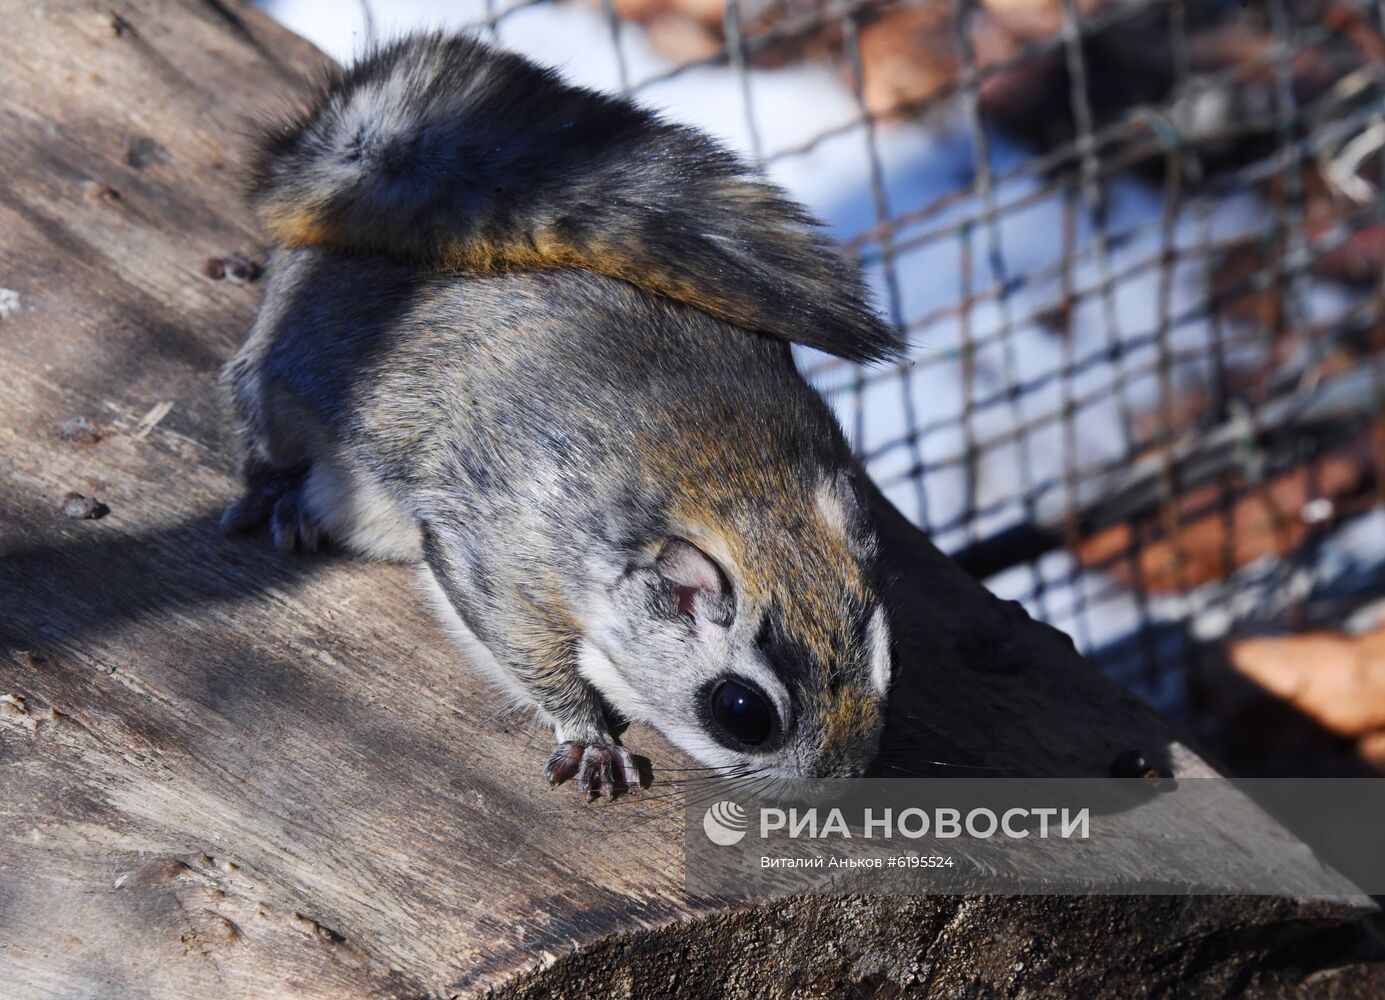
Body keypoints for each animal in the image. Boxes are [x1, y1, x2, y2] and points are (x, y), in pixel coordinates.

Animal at [221, 29, 903, 792]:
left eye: (885, 664)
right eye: (741, 711)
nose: (841, 777)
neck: (728, 481)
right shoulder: (498, 554)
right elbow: (526, 651)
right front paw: (589, 735)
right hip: (279, 388)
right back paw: (276, 494)